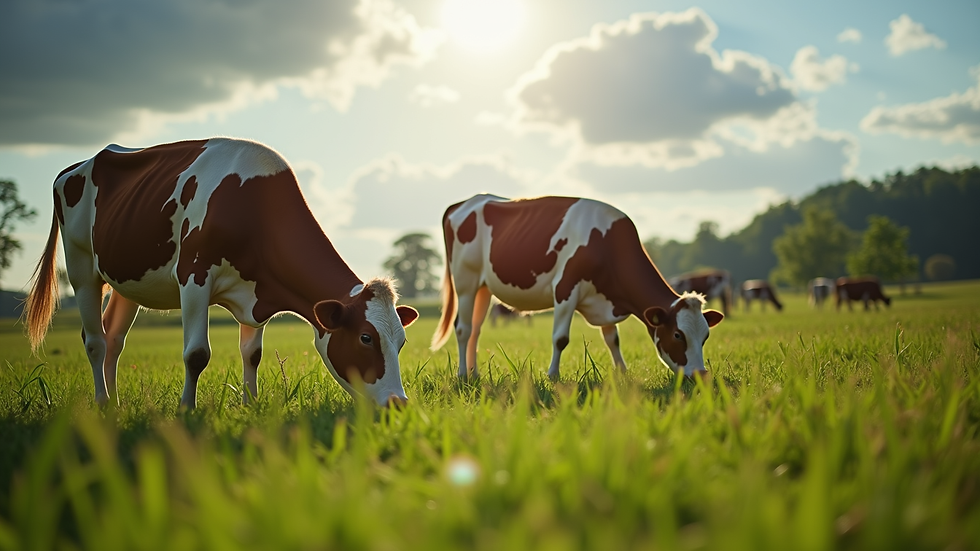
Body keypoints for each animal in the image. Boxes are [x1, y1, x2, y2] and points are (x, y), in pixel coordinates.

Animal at [25, 138, 419, 409]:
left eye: (401, 341)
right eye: (366, 338)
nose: (398, 404)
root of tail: (80, 163)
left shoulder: (257, 293)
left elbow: (252, 353)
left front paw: (250, 405)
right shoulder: (193, 277)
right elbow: (196, 354)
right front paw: (187, 409)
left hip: (126, 280)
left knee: (115, 338)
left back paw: (116, 403)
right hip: (81, 267)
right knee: (95, 340)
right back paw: (103, 403)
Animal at [430, 194, 724, 380]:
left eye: (705, 336)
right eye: (677, 335)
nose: (700, 375)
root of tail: (466, 201)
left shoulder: (606, 299)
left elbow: (612, 339)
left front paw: (623, 372)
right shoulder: (565, 289)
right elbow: (560, 338)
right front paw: (552, 375)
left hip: (483, 288)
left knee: (475, 329)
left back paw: (474, 373)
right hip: (466, 282)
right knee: (463, 329)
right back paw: (462, 375)